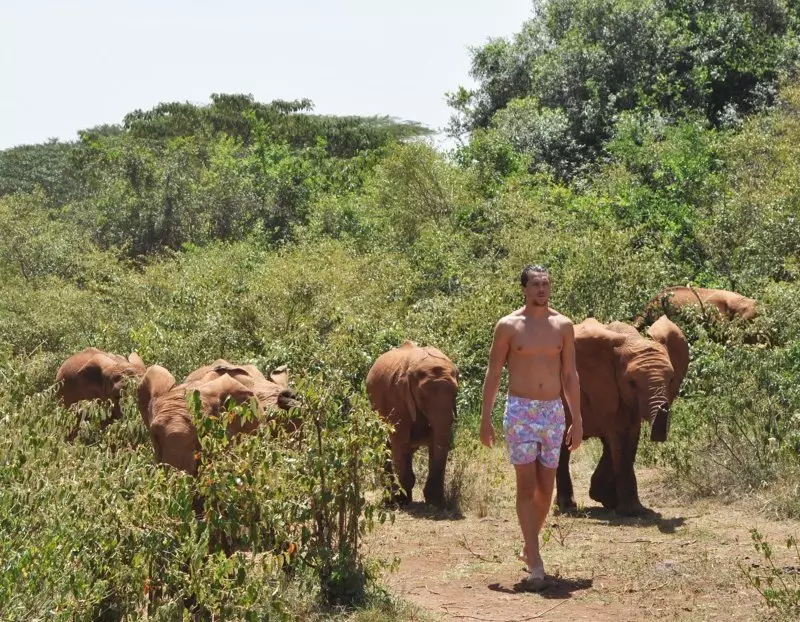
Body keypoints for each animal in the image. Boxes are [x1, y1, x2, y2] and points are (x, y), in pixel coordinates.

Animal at [366, 342, 460, 508]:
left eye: (455, 393)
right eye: (422, 397)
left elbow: (436, 443)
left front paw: (434, 503)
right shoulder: (397, 398)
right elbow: (400, 442)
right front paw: (402, 501)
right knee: (386, 446)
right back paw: (391, 501)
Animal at [556, 316, 688, 516]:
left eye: (671, 379)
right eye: (632, 383)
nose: (665, 408)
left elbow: (628, 436)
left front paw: (606, 499)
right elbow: (621, 435)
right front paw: (632, 511)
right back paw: (567, 506)